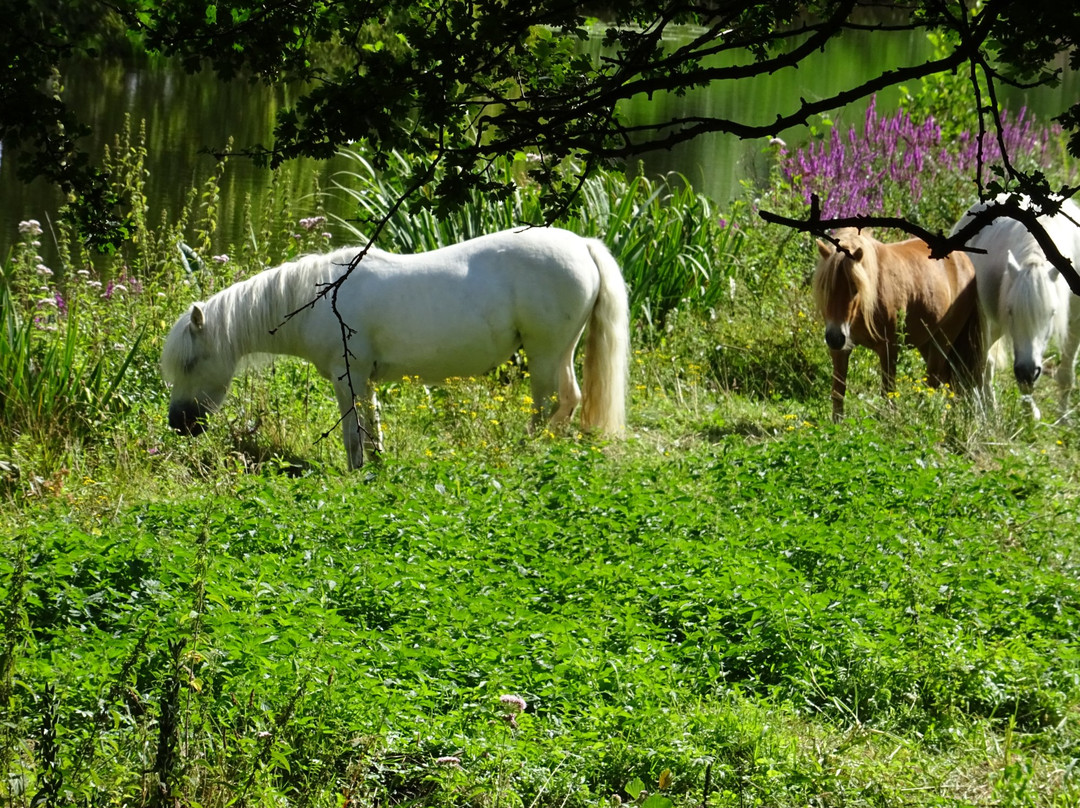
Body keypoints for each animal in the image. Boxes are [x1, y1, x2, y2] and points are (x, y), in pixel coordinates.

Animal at [163, 225, 630, 466]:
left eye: (191, 362)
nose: (179, 425)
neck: (319, 300)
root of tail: (581, 245)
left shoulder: (346, 377)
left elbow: (353, 433)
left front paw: (357, 472)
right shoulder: (364, 378)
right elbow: (372, 425)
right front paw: (379, 465)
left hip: (545, 352)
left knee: (552, 402)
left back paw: (528, 450)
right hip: (558, 352)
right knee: (566, 400)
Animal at [812, 225, 984, 419]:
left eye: (855, 288)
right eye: (825, 286)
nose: (834, 337)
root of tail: (965, 262)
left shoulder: (889, 349)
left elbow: (888, 393)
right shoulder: (841, 349)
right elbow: (838, 392)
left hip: (943, 340)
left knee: (934, 383)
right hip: (927, 343)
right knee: (947, 383)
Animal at [950, 195, 1080, 419]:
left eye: (1052, 313)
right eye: (1011, 311)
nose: (1027, 371)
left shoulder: (1075, 324)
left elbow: (1066, 375)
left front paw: (1063, 420)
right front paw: (1030, 417)